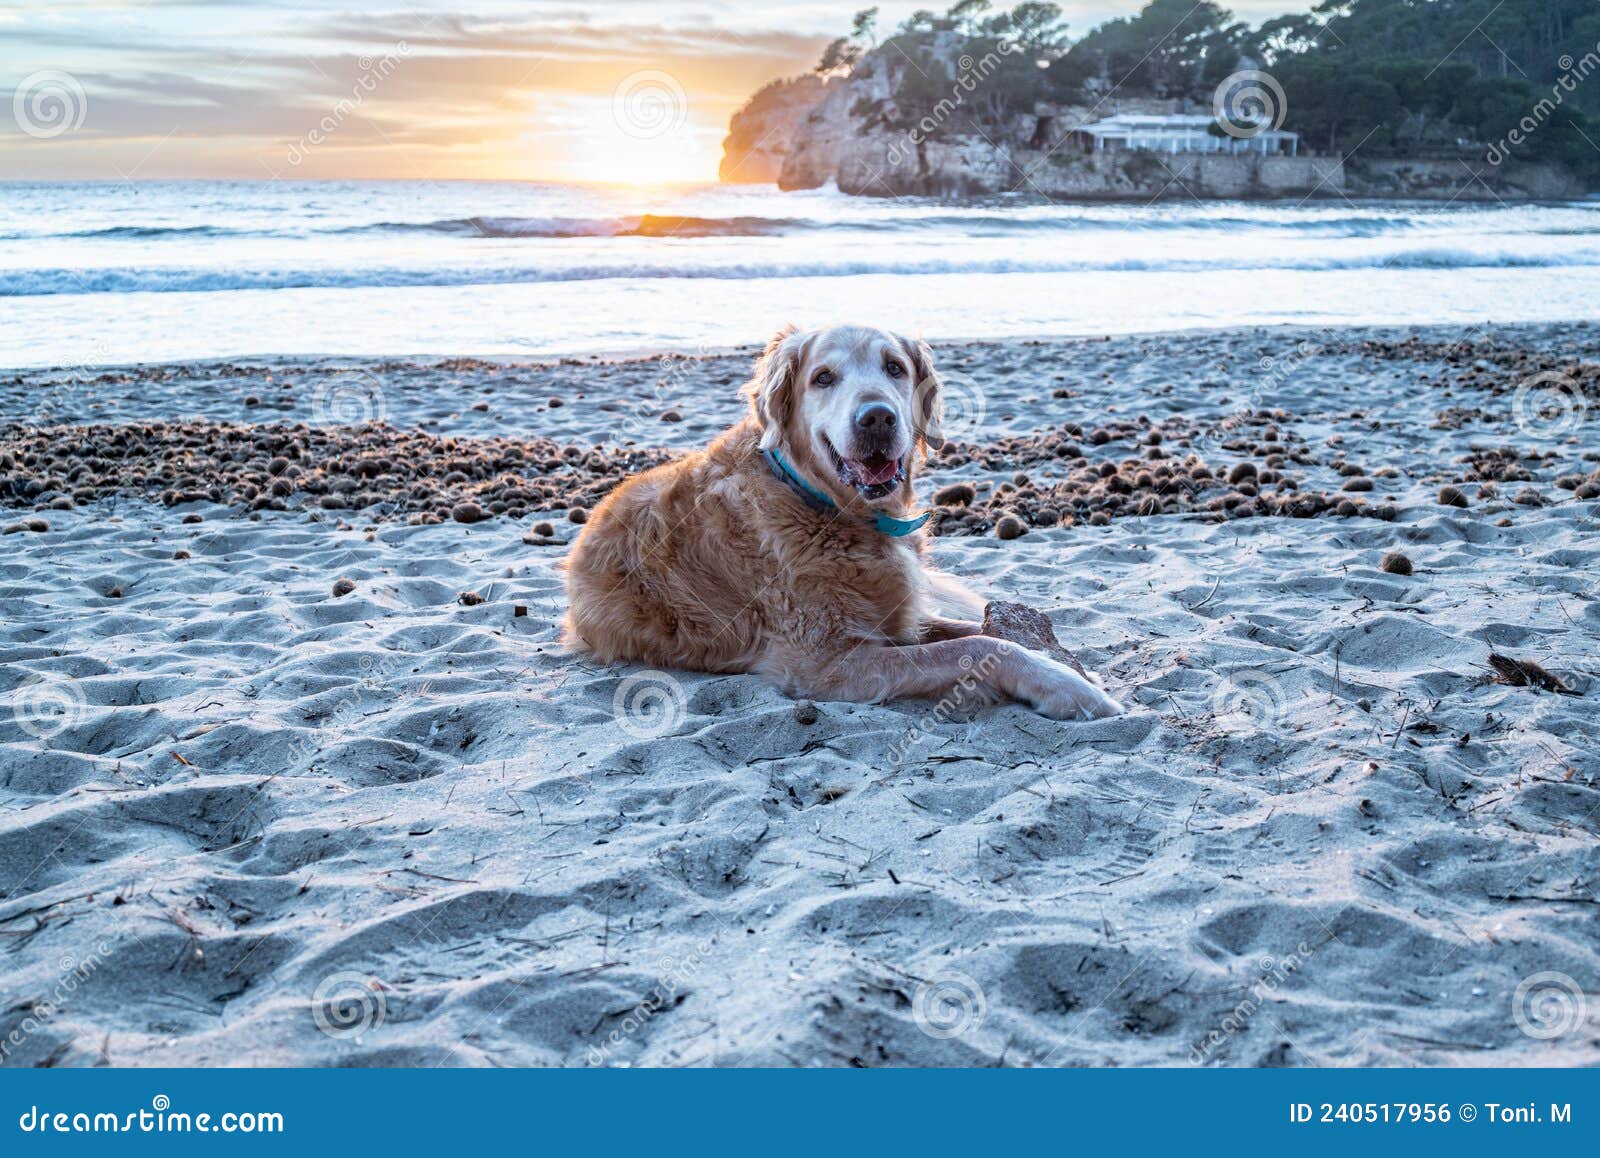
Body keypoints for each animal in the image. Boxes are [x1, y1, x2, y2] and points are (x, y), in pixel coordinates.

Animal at [563, 326, 1126, 719]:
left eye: (895, 368)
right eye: (823, 378)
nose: (876, 417)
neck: (829, 507)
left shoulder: (898, 619)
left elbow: (976, 632)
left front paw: (1072, 667)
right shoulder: (825, 663)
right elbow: (981, 645)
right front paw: (1069, 687)